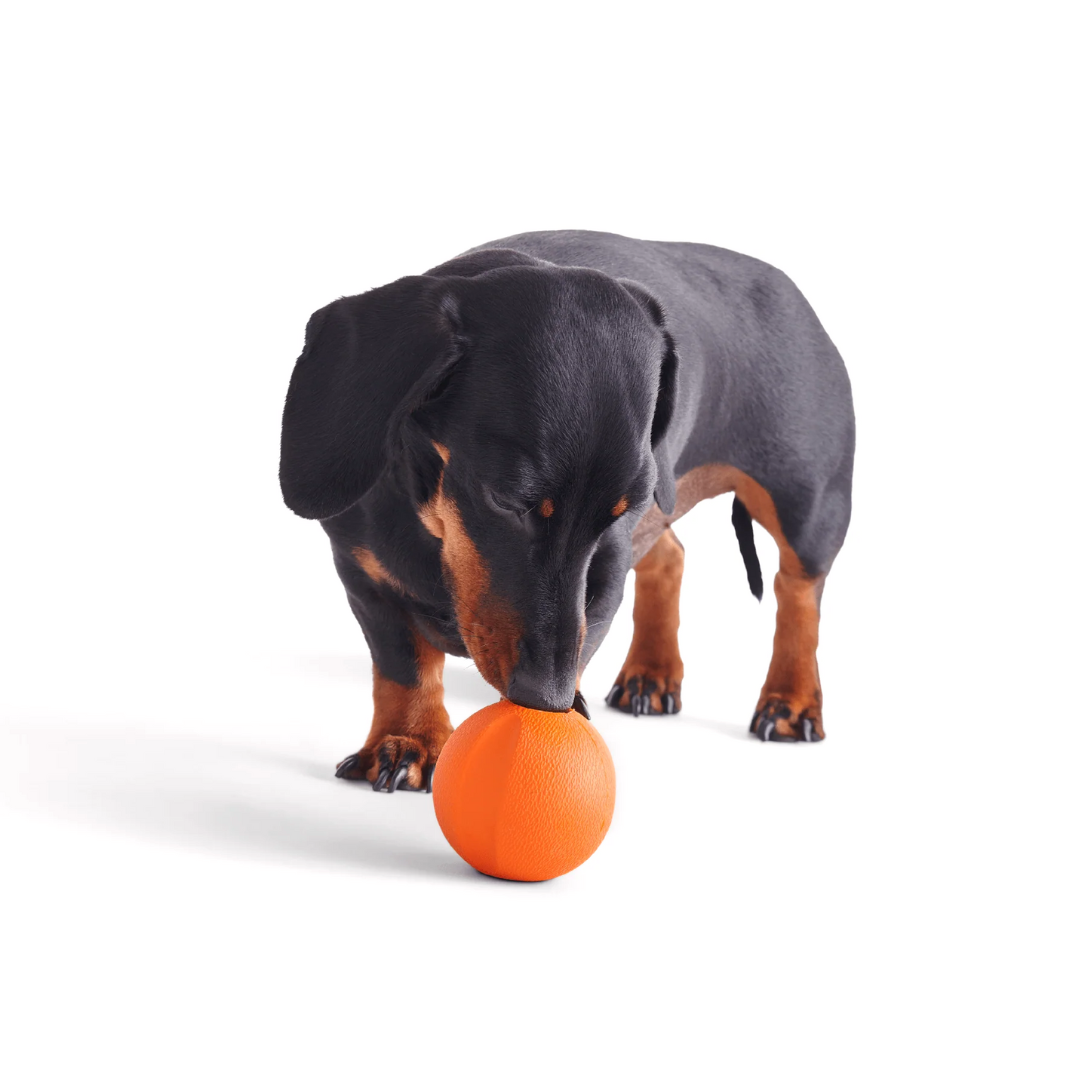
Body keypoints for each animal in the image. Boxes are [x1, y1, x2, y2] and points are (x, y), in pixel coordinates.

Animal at [278, 232, 851, 790]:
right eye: (506, 499)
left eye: (617, 511)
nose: (546, 699)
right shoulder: (363, 573)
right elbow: (403, 666)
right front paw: (408, 741)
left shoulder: (608, 567)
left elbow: (584, 633)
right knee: (671, 554)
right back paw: (651, 672)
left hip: (807, 506)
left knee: (798, 591)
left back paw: (791, 701)